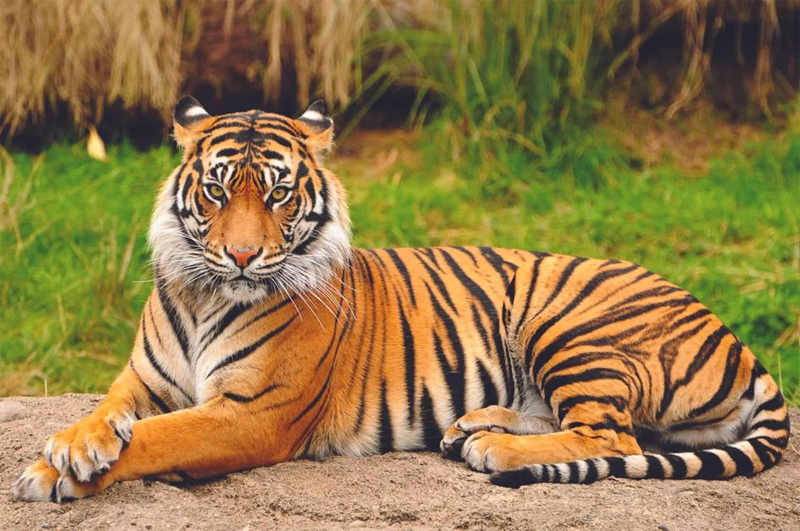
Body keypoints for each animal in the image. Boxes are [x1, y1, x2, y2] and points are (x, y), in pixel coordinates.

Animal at [12, 97, 789, 503]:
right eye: (215, 190)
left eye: (278, 194)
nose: (241, 256)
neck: (207, 295)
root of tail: (736, 338)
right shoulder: (143, 379)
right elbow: (109, 412)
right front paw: (73, 445)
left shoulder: (253, 413)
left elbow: (161, 436)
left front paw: (53, 472)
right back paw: (473, 426)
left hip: (568, 322)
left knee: (614, 435)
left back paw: (495, 449)